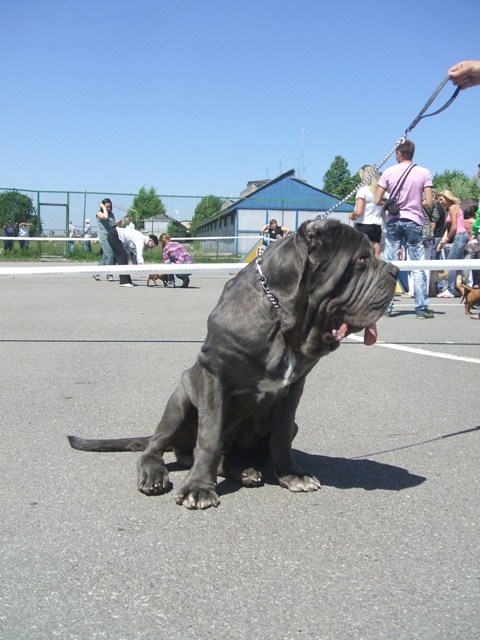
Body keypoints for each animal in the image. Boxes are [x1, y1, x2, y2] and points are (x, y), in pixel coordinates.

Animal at [69, 219, 399, 509]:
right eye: (361, 259)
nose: (395, 270)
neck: (281, 317)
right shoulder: (214, 376)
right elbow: (210, 437)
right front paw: (199, 488)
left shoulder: (293, 389)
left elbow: (281, 436)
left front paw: (292, 474)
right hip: (181, 395)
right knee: (157, 447)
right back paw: (157, 474)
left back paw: (244, 470)